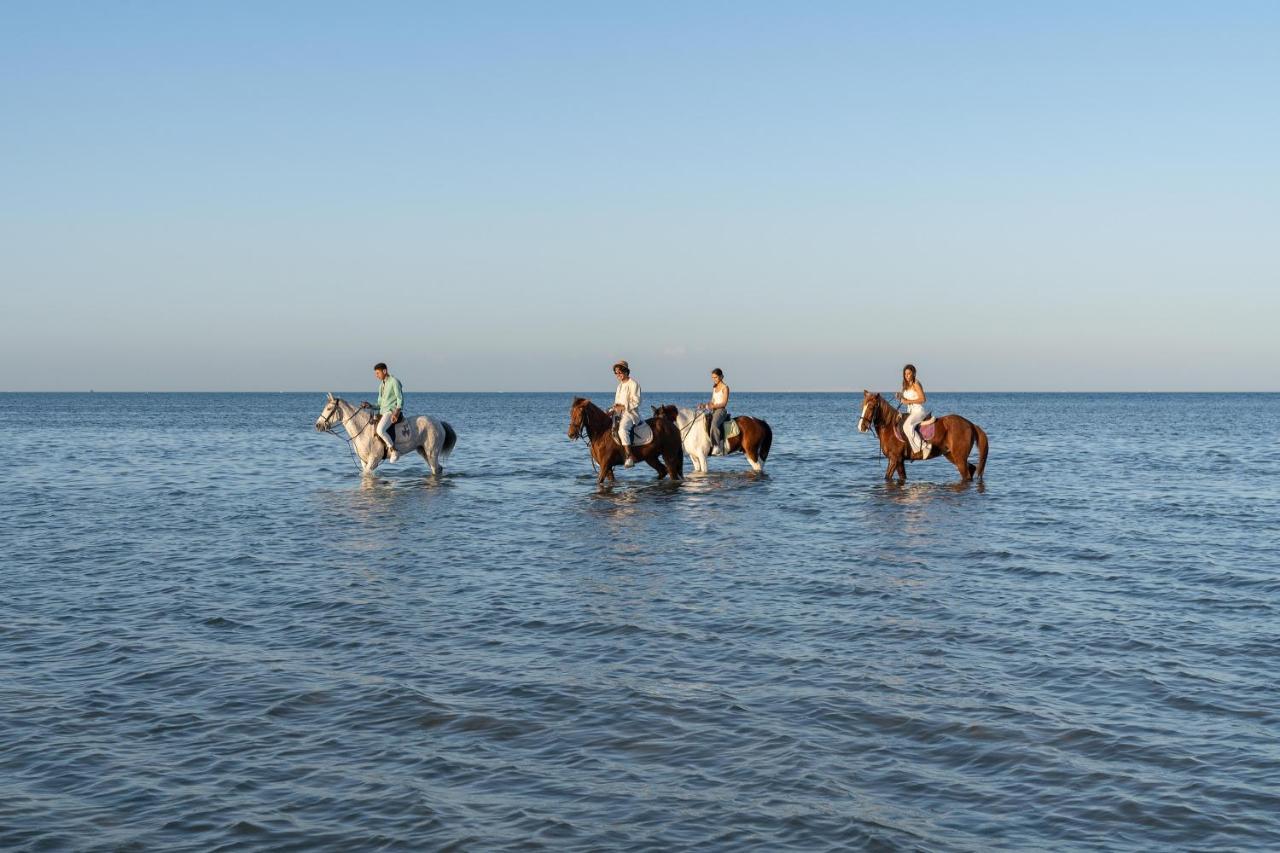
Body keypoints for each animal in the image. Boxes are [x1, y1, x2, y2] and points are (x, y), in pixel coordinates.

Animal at [313, 389, 455, 473]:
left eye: (329, 408)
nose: (318, 425)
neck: (362, 430)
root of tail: (439, 422)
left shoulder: (373, 461)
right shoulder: (364, 462)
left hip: (432, 453)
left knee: (436, 469)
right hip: (423, 452)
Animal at [860, 389, 988, 481]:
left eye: (871, 406)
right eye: (862, 406)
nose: (861, 427)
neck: (889, 426)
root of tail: (970, 424)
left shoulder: (894, 459)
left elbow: (887, 477)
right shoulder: (900, 461)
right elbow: (902, 478)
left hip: (959, 458)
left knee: (966, 475)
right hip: (951, 455)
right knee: (971, 469)